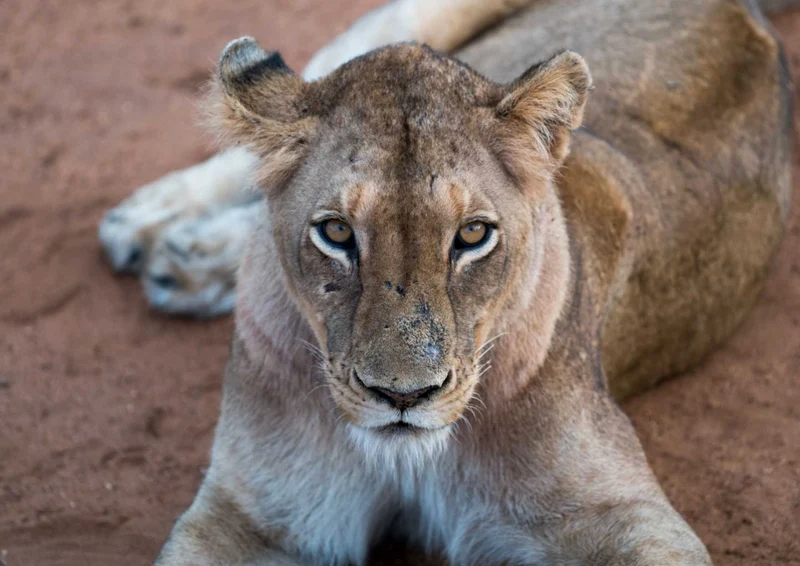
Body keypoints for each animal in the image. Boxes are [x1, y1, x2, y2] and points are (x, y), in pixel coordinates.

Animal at [100, 0, 796, 564]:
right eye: (336, 233)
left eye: (472, 235)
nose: (402, 396)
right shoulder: (252, 514)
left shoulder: (623, 513)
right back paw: (152, 229)